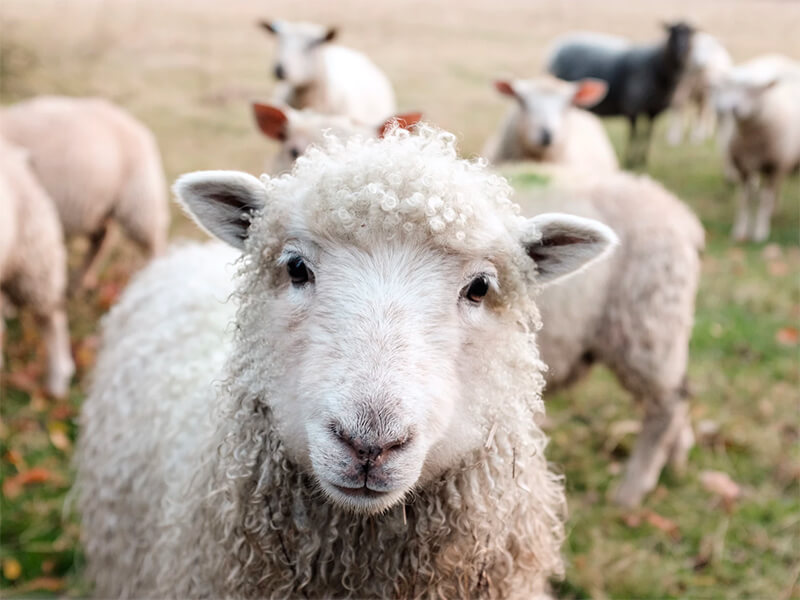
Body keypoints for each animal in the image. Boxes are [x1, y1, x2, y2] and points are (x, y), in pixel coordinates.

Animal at [0, 96, 169, 289]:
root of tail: (135, 124)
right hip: (100, 206)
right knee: (101, 239)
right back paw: (81, 280)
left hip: (139, 200)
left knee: (154, 240)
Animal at [547, 22, 695, 166]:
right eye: (673, 32)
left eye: (690, 34)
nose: (681, 51)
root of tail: (558, 46)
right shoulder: (632, 107)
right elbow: (633, 135)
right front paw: (630, 160)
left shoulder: (653, 110)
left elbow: (647, 134)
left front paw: (642, 159)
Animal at [713, 56, 800, 242]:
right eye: (732, 88)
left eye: (754, 91)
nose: (734, 108)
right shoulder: (743, 167)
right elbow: (744, 199)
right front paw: (740, 231)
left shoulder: (773, 166)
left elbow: (764, 200)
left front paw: (760, 231)